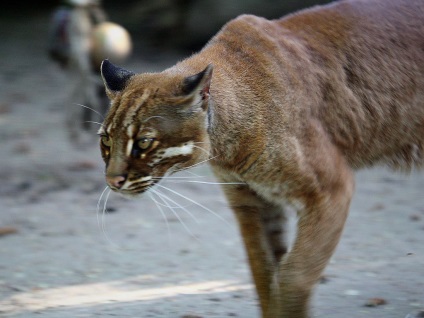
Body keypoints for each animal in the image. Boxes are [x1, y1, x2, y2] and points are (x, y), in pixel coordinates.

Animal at [97, 1, 424, 316]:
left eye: (144, 142)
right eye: (106, 140)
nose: (112, 181)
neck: (228, 146)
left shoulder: (330, 191)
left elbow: (294, 275)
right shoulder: (249, 201)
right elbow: (263, 274)